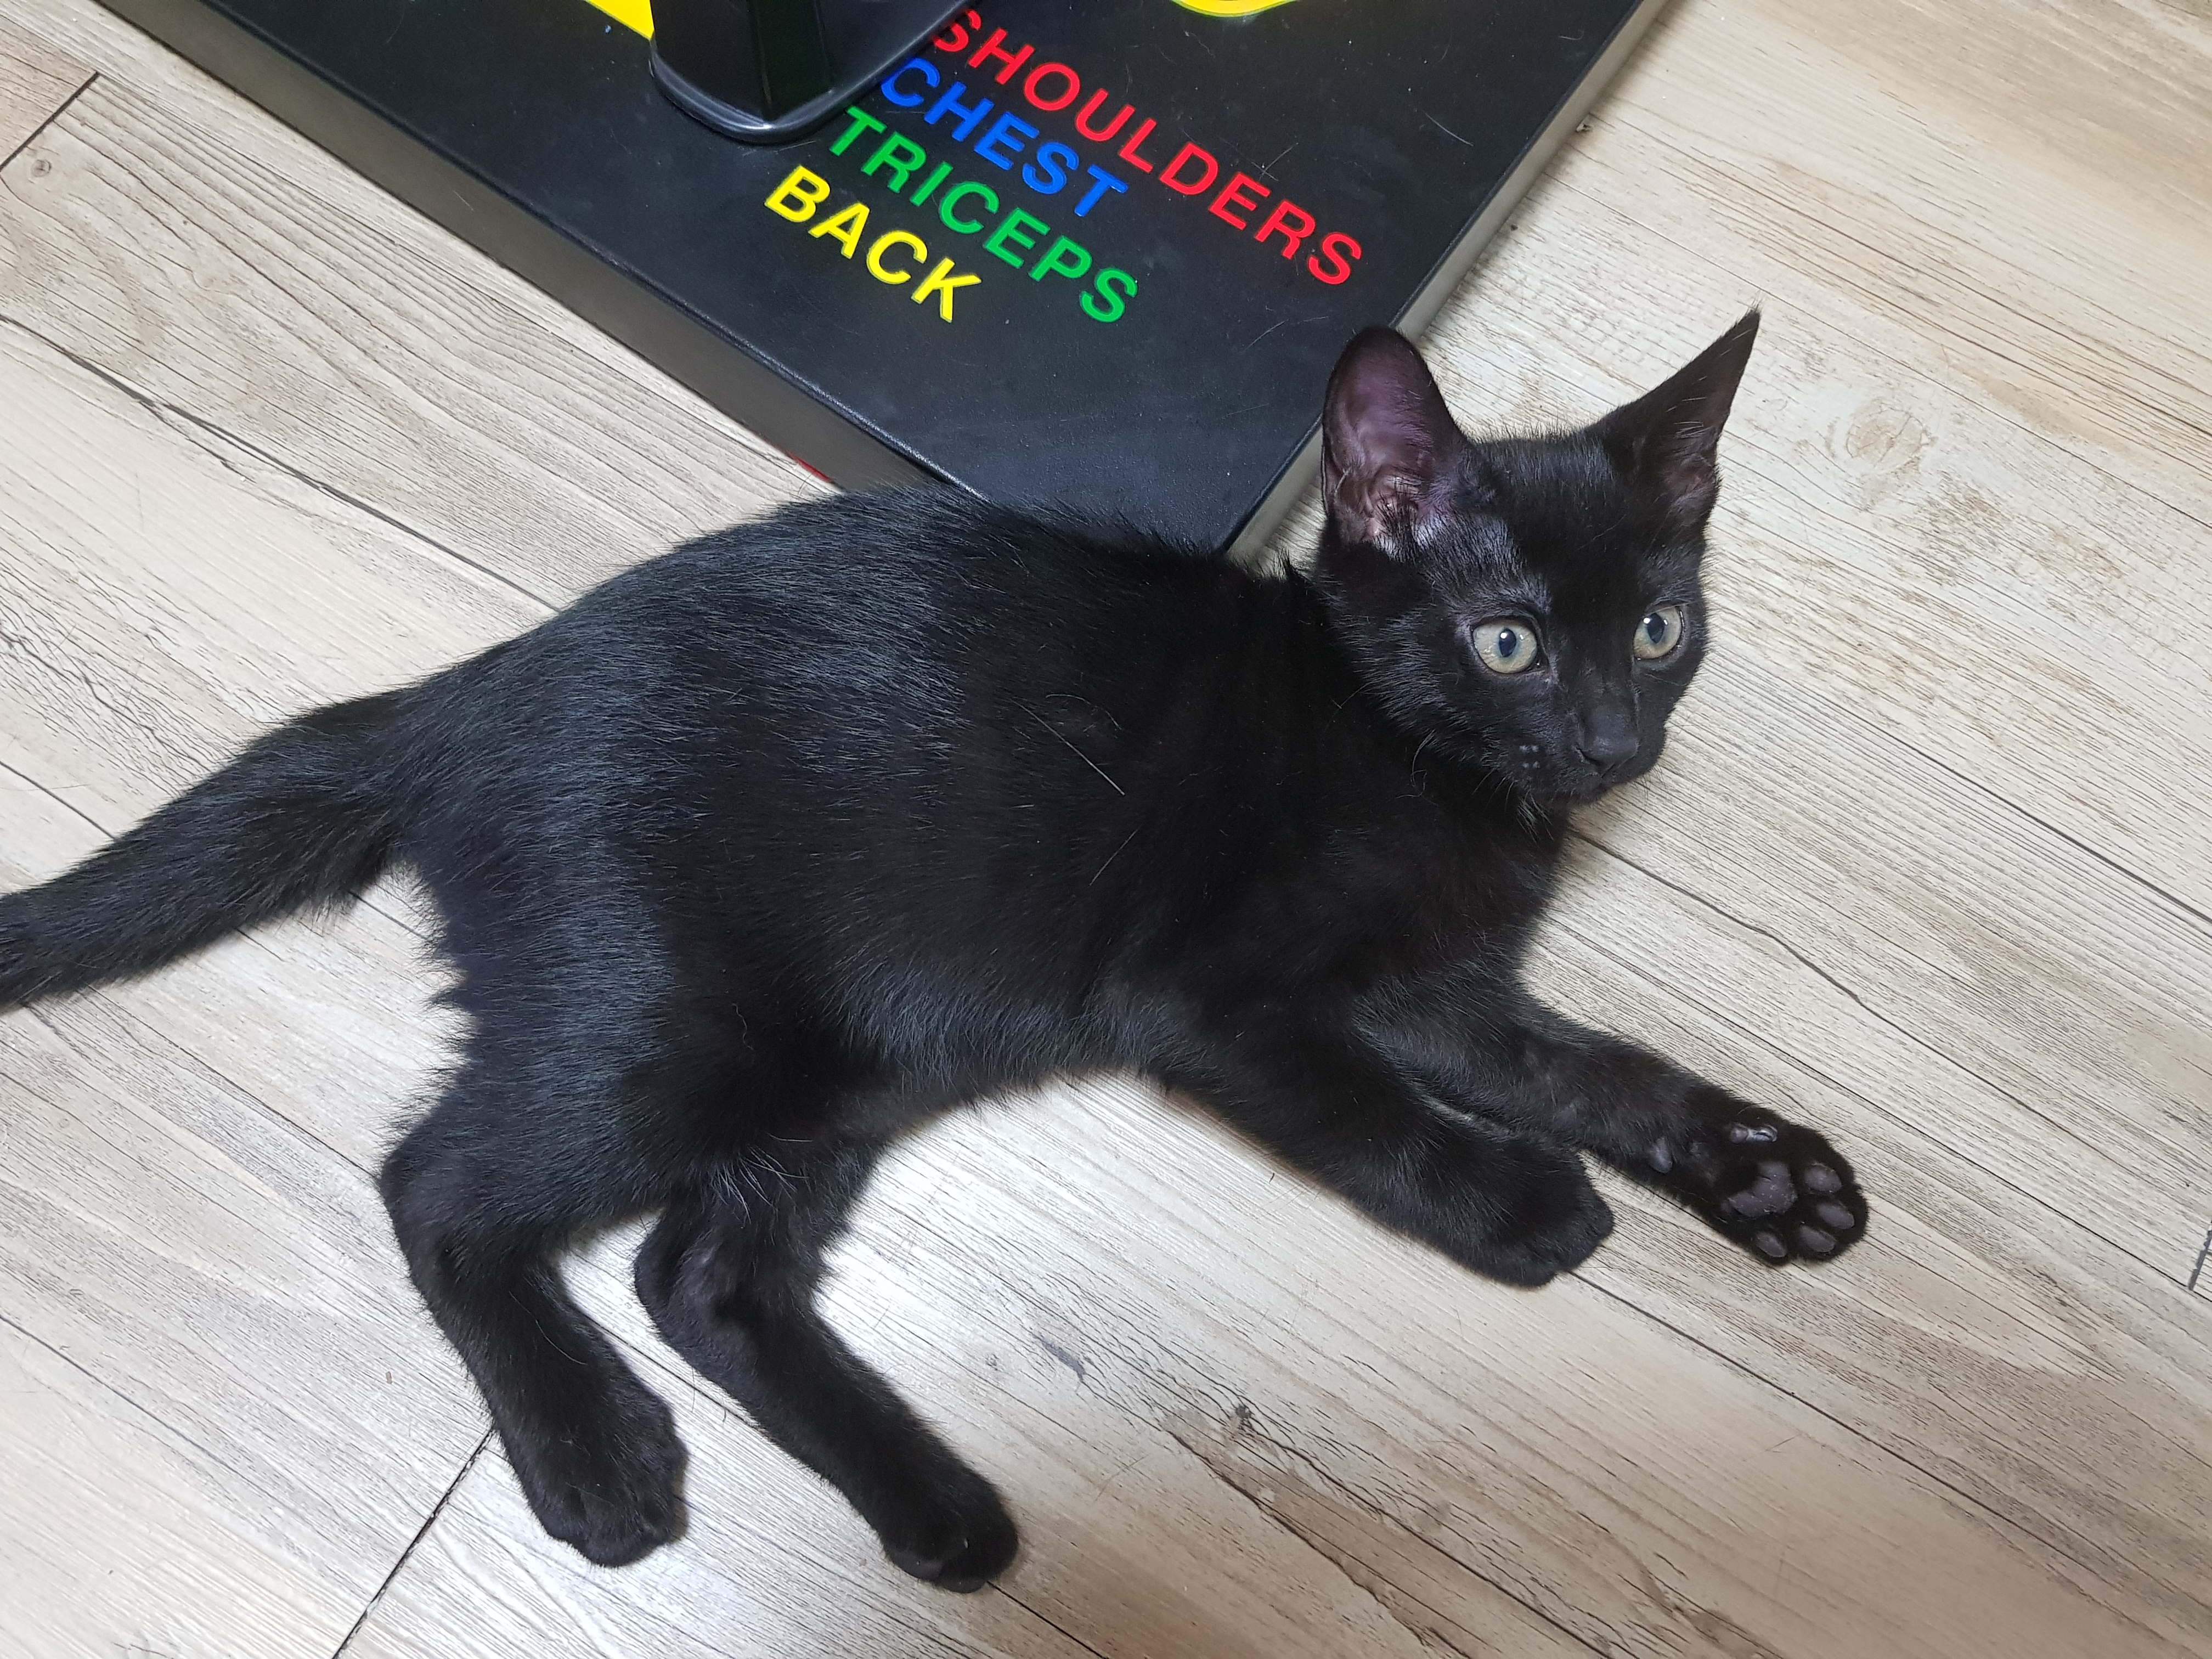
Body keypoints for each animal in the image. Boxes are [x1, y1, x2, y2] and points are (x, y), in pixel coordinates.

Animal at [0, 312, 1864, 1590]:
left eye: (1658, 628)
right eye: (1507, 643)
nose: (1613, 745)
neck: (1421, 759)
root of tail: (469, 692)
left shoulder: (1434, 989)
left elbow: (1586, 1067)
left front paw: (1762, 1169)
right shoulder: (1216, 997)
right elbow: (1380, 1123)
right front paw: (1525, 1208)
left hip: (848, 1062)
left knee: (699, 1277)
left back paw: (936, 1508)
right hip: (682, 1028)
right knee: (439, 1184)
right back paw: (594, 1455)